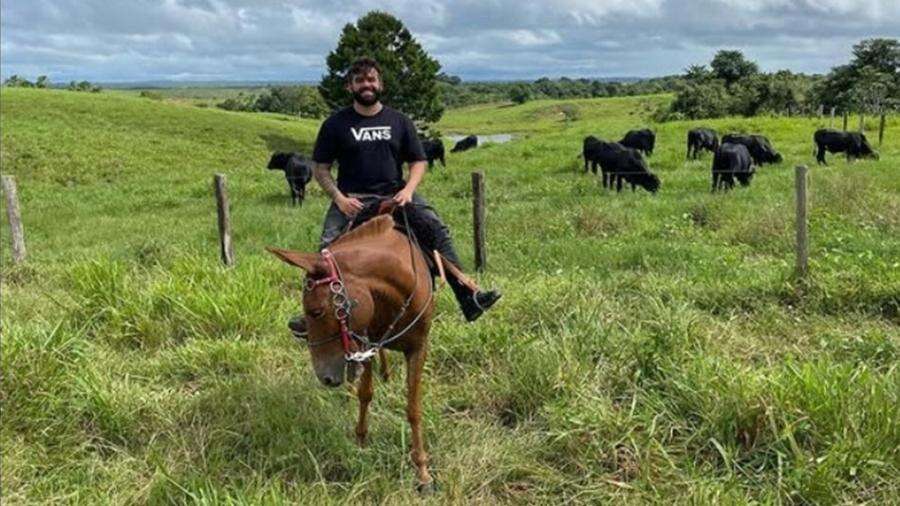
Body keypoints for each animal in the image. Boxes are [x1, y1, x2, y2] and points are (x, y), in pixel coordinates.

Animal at [268, 213, 436, 490]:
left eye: (316, 311)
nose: (325, 377)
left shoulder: (418, 348)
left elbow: (414, 409)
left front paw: (422, 472)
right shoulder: (364, 343)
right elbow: (365, 394)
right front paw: (360, 443)